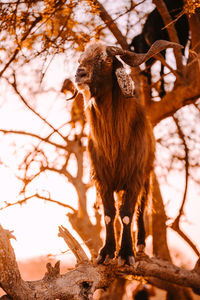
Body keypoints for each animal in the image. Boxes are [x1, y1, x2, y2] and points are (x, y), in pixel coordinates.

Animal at [71, 38, 182, 264]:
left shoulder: (134, 177)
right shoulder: (102, 179)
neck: (114, 142)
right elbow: (108, 214)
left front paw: (126, 253)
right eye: (80, 59)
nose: (80, 74)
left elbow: (127, 214)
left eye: (106, 60)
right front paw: (106, 252)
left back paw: (140, 245)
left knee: (141, 209)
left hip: (147, 177)